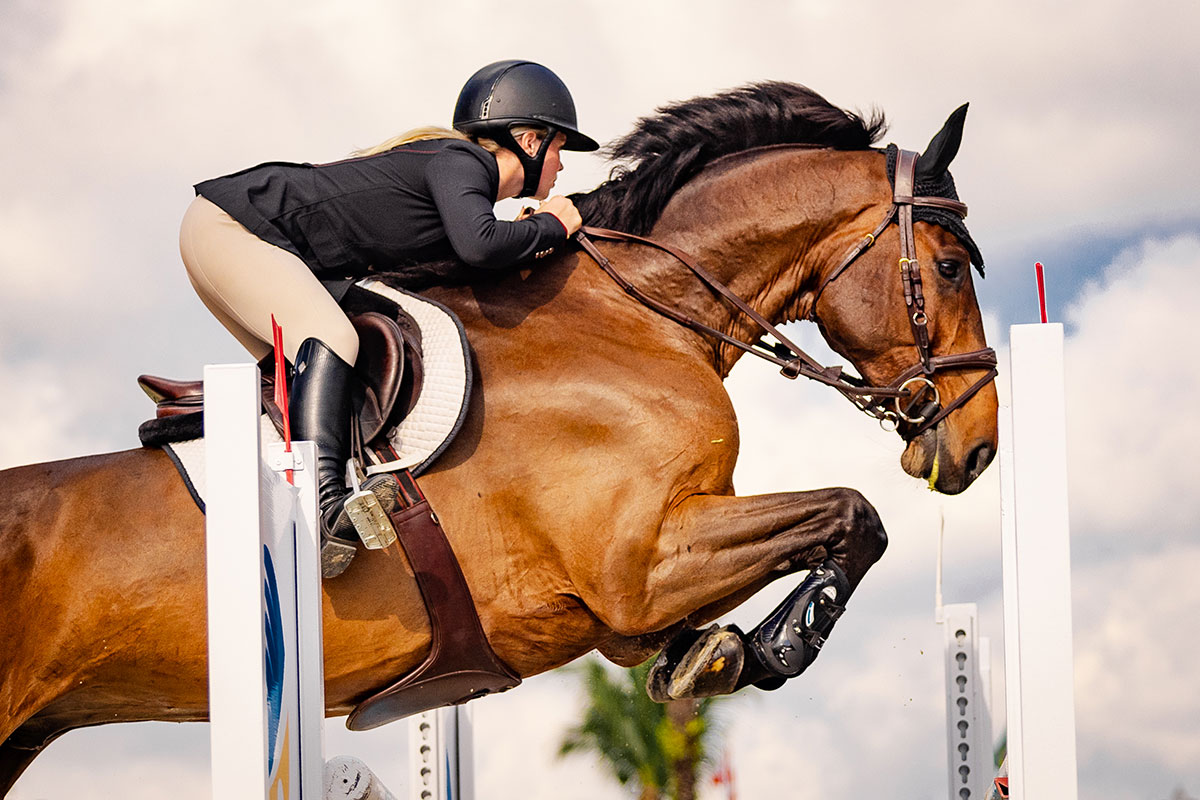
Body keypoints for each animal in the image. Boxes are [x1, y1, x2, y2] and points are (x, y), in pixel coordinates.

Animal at [0, 82, 998, 793]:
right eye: (950, 266)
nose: (979, 447)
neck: (639, 316)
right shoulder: (639, 561)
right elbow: (851, 514)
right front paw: (780, 645)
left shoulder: (625, 598)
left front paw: (712, 654)